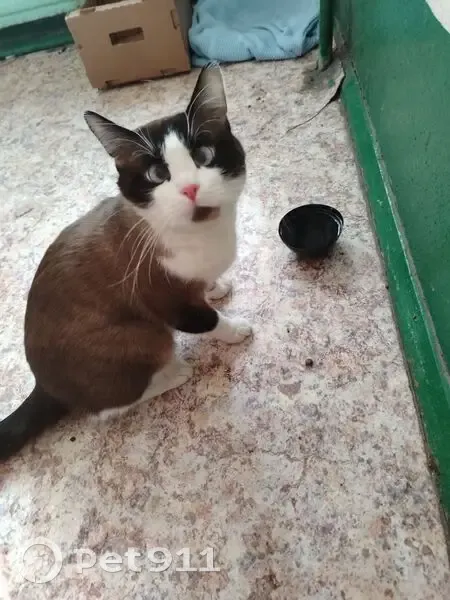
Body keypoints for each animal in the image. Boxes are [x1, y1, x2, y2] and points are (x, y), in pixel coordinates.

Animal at [0, 63, 252, 460]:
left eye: (203, 156)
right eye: (157, 175)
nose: (191, 189)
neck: (202, 233)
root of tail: (43, 385)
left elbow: (207, 286)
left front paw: (215, 287)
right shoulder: (166, 300)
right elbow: (207, 320)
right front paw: (235, 329)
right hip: (142, 335)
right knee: (103, 409)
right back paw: (173, 374)